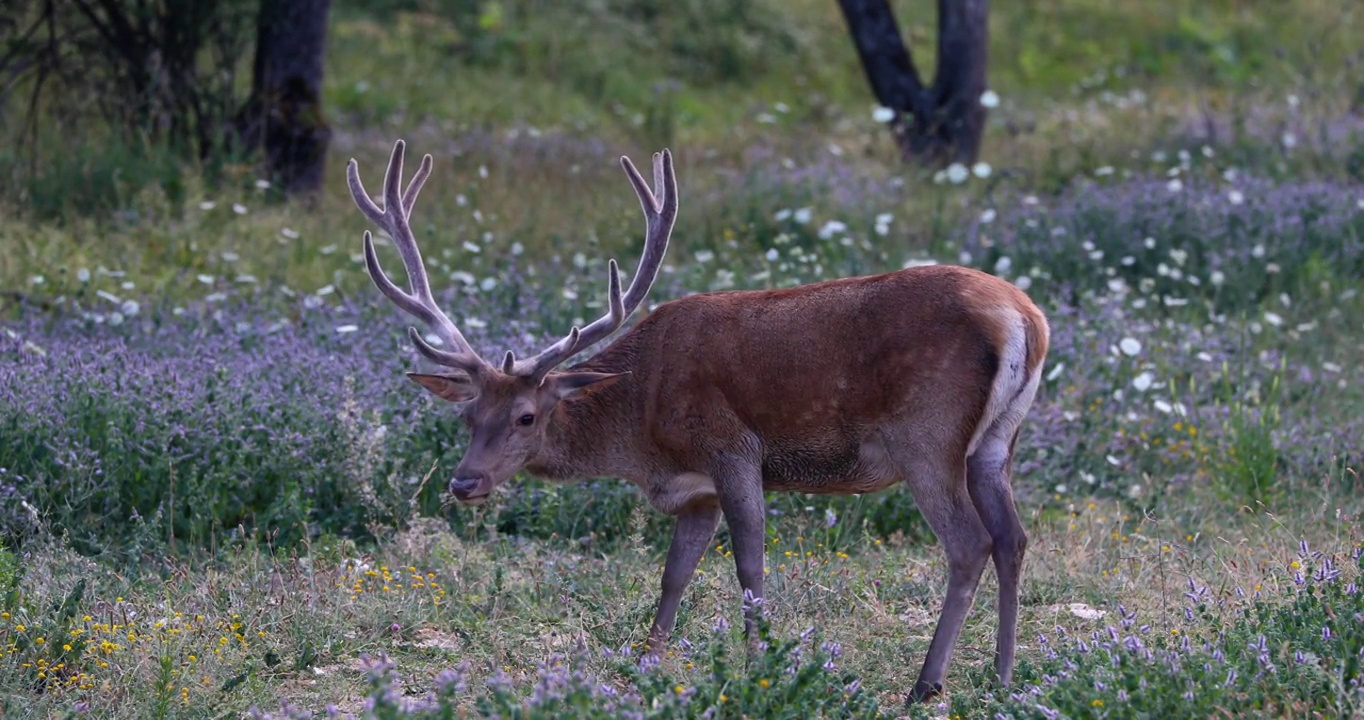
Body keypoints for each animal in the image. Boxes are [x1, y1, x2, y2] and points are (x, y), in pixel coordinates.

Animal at [346, 140, 1047, 703]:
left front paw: (761, 667)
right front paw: (643, 666)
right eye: (468, 415)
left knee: (969, 543)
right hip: (995, 441)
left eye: (525, 416)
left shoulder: (731, 447)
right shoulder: (695, 492)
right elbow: (674, 574)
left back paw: (927, 684)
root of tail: (1026, 318)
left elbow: (750, 567)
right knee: (1012, 537)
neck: (644, 431)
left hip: (926, 436)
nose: (464, 483)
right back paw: (1003, 674)